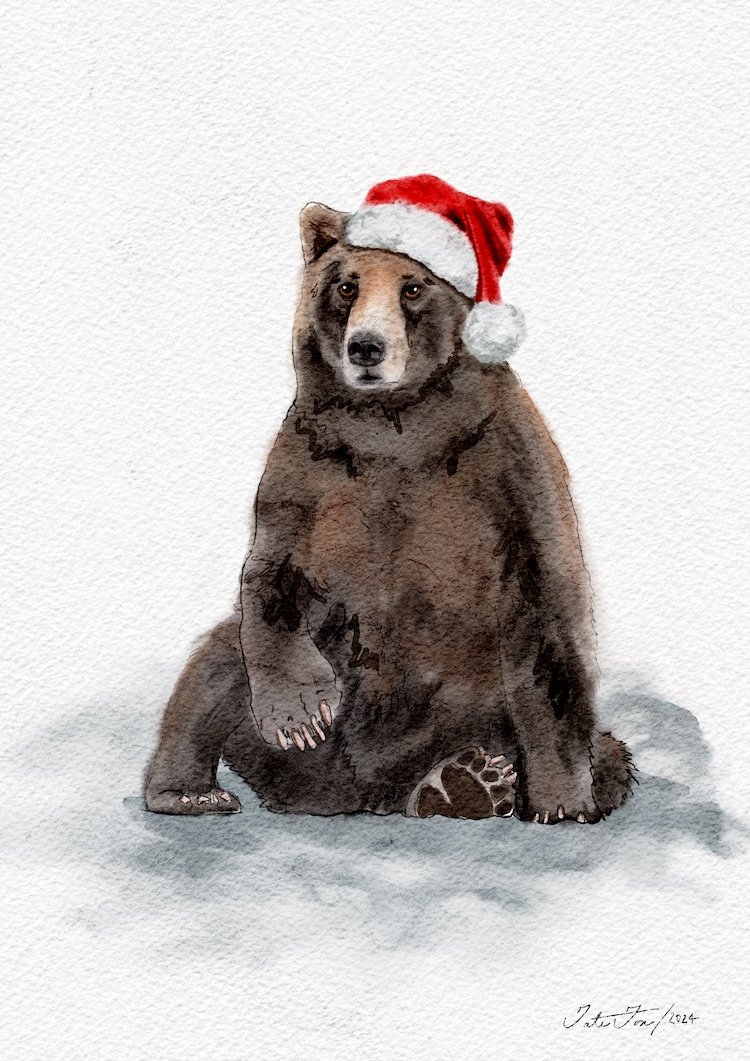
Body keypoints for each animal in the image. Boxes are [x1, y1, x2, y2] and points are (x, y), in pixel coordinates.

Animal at [144, 180, 634, 823]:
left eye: (414, 287)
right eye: (345, 285)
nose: (366, 348)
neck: (394, 425)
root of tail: (351, 794)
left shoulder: (505, 462)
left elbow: (549, 603)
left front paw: (562, 800)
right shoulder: (310, 465)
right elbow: (270, 572)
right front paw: (301, 715)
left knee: (609, 750)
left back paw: (471, 781)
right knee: (214, 664)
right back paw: (190, 789)